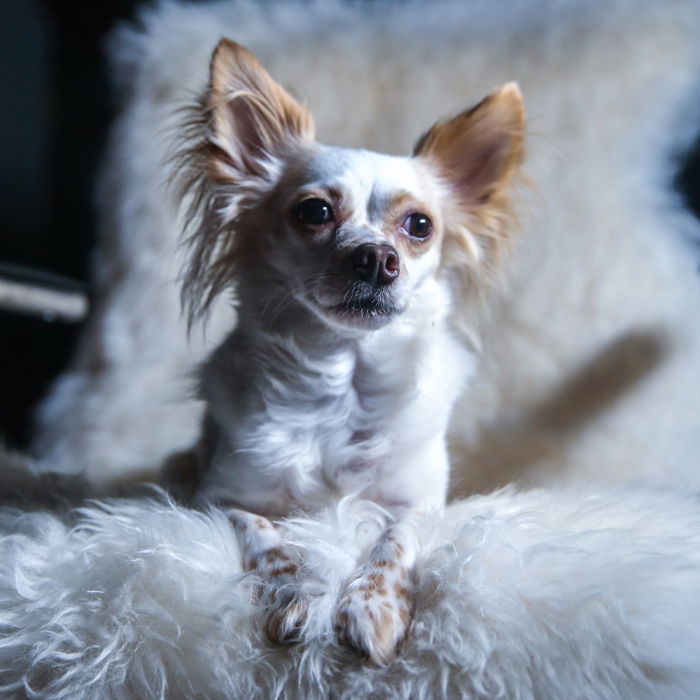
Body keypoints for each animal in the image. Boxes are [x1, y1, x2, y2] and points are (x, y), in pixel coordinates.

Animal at [174, 37, 524, 660]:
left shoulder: (420, 502)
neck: (344, 384)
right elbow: (268, 538)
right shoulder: (219, 497)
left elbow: (393, 543)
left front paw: (370, 609)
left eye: (419, 225)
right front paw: (300, 596)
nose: (377, 257)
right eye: (313, 211)